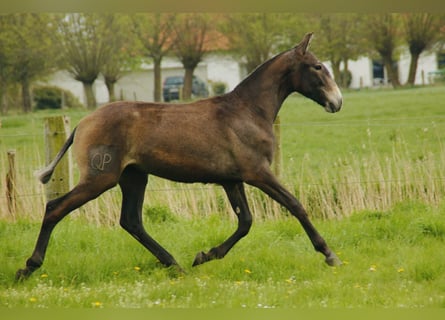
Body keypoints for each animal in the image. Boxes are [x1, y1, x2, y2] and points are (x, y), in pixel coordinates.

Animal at [16, 33, 344, 280]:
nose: (337, 102)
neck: (247, 111)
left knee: (131, 221)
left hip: (134, 177)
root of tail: (82, 123)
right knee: (55, 208)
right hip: (101, 178)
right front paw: (329, 255)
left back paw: (175, 264)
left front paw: (204, 255)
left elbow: (246, 221)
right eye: (317, 67)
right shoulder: (257, 173)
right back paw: (28, 268)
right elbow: (295, 205)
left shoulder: (232, 180)